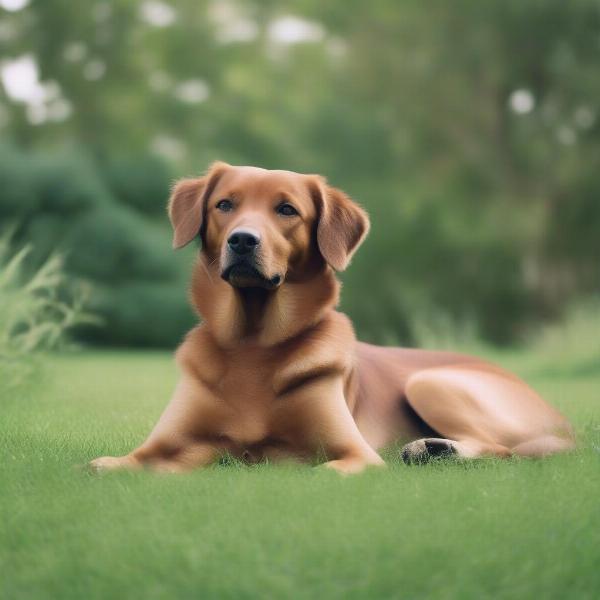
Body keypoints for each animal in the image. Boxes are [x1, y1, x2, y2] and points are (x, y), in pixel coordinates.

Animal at [90, 163, 576, 474]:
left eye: (287, 210)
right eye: (224, 205)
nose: (242, 240)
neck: (253, 344)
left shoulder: (356, 455)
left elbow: (317, 471)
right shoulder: (167, 446)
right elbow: (112, 465)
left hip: (431, 381)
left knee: (503, 450)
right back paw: (431, 449)